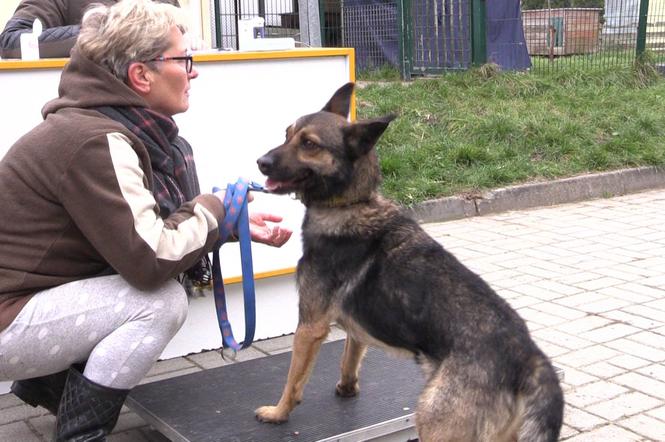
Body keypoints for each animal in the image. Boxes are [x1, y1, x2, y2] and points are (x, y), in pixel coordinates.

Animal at [253, 83, 560, 442]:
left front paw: (278, 412)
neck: (350, 205)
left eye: (309, 144)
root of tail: (530, 359)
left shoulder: (310, 327)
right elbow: (350, 357)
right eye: (287, 134)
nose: (260, 162)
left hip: (432, 422)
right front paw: (347, 388)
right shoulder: (355, 328)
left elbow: (293, 380)